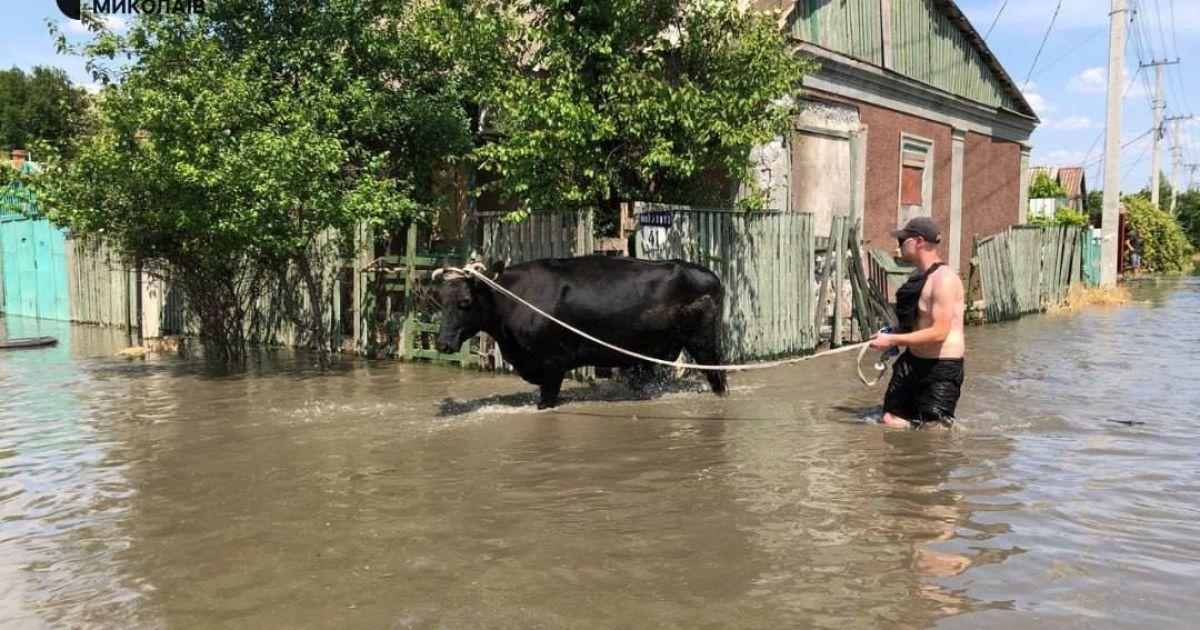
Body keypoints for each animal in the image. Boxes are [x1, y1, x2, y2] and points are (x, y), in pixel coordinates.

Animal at [434, 255, 724, 408]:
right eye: (440, 300)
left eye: (465, 303)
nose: (442, 344)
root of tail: (707, 274)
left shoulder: (552, 365)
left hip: (704, 343)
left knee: (717, 377)